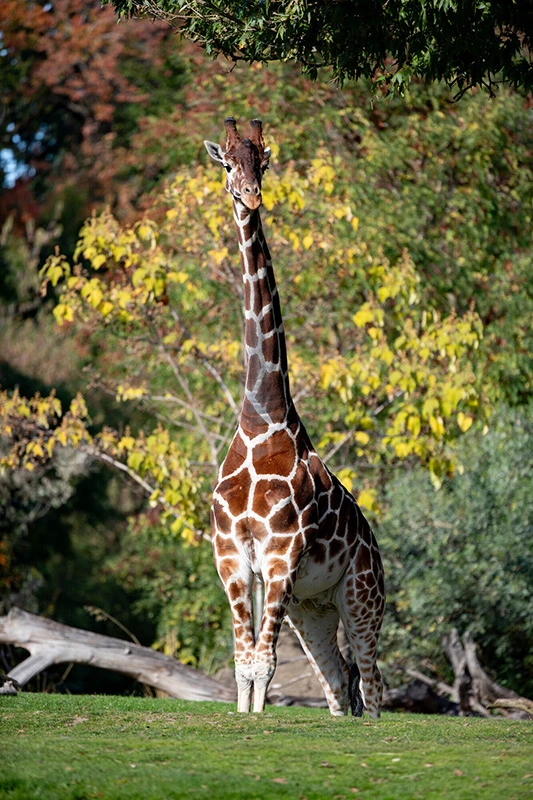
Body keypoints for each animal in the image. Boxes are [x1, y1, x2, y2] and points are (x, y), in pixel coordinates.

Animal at [204, 118, 385, 718]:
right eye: (227, 163)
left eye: (262, 161)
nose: (250, 196)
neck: (262, 417)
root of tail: (376, 548)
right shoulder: (233, 555)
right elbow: (244, 662)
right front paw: (244, 719)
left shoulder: (281, 553)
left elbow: (263, 662)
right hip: (314, 608)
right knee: (338, 684)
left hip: (361, 597)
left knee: (372, 681)